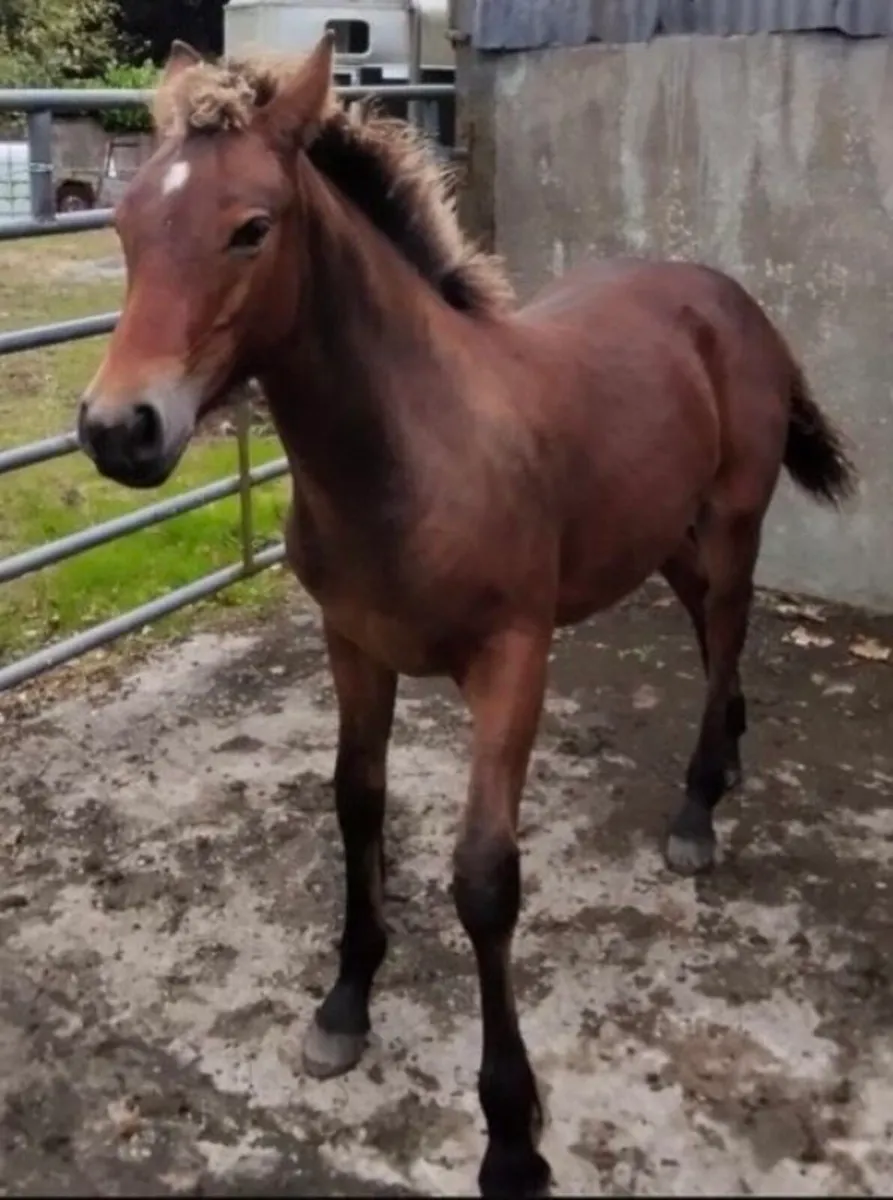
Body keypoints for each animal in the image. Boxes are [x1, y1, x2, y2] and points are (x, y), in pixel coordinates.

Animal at [76, 35, 856, 1197]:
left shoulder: (510, 660)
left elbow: (484, 881)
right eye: (124, 226)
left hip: (726, 525)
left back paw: (696, 809)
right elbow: (355, 804)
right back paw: (731, 757)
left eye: (250, 227)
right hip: (659, 533)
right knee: (709, 634)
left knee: (724, 632)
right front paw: (345, 1002)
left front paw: (510, 1137)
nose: (116, 430)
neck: (412, 452)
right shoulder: (352, 646)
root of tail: (730, 298)